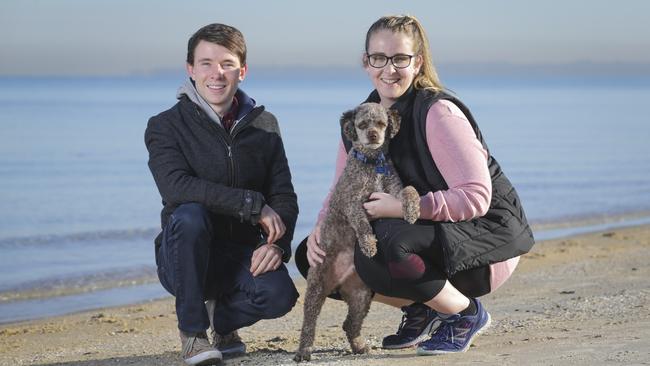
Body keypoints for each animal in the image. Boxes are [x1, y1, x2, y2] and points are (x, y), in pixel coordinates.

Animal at [294, 101, 420, 362]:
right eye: (362, 124)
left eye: (381, 123)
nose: (373, 135)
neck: (372, 163)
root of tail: (339, 281)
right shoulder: (352, 203)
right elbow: (362, 223)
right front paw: (369, 244)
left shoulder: (393, 190)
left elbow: (409, 190)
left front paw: (413, 210)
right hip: (316, 288)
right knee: (309, 323)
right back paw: (304, 351)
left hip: (361, 296)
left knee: (349, 324)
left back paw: (359, 346)